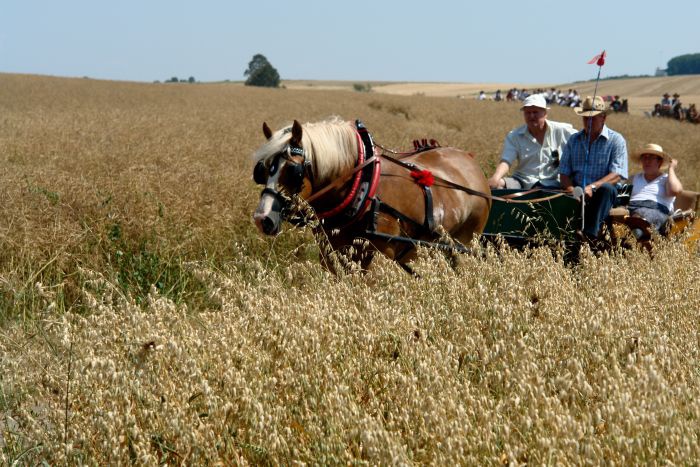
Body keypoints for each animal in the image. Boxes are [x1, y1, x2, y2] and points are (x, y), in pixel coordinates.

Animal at [253, 117, 492, 270]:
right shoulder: (332, 253)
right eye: (261, 170)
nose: (262, 219)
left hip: (466, 241)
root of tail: (470, 162)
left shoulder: (378, 254)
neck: (364, 187)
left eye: (293, 171)